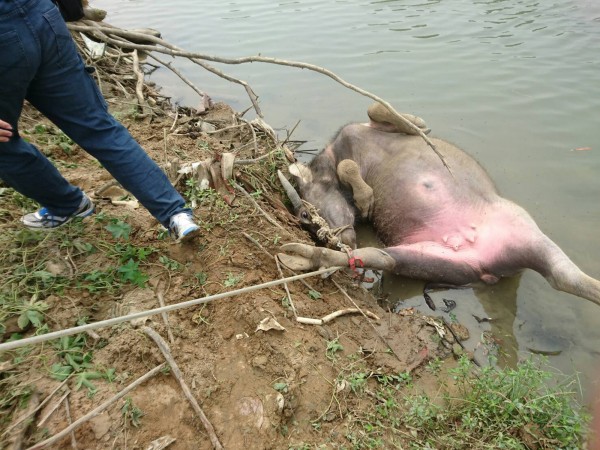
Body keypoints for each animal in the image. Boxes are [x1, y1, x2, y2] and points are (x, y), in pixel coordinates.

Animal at [278, 103, 600, 306]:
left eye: (306, 212)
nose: (333, 239)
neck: (336, 150)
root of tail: (490, 263)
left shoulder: (368, 126)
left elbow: (378, 111)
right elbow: (350, 166)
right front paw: (364, 196)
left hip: (518, 226)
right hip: (440, 262)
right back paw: (303, 255)